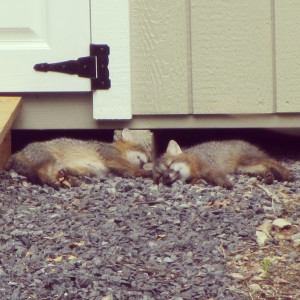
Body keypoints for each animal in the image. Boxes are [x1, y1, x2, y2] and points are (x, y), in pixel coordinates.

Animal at [6, 128, 152, 189]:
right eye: (144, 151)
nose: (149, 161)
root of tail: (18, 152)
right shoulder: (111, 158)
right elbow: (133, 169)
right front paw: (149, 172)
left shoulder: (95, 170)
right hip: (50, 159)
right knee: (41, 174)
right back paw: (55, 182)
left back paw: (71, 180)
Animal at [154, 139, 292, 189]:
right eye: (159, 177)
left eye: (169, 165)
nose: (166, 177)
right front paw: (198, 182)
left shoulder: (211, 167)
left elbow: (218, 176)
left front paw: (226, 184)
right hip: (243, 168)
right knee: (265, 166)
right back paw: (269, 176)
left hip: (248, 160)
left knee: (271, 161)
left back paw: (286, 174)